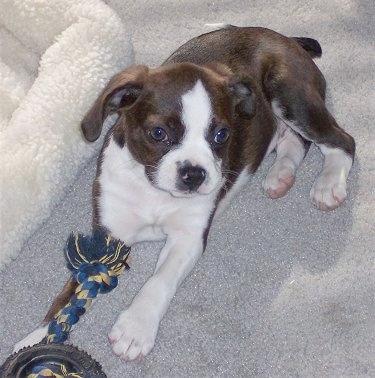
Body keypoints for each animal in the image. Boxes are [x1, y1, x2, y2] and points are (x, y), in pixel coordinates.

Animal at [14, 25, 356, 360]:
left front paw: (136, 327)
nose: (194, 174)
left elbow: (160, 280)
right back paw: (280, 176)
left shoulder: (188, 237)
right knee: (295, 142)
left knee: (340, 141)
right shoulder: (107, 238)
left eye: (222, 134)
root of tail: (285, 37)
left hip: (289, 95)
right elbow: (69, 293)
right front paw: (39, 337)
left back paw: (328, 185)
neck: (153, 189)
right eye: (158, 133)